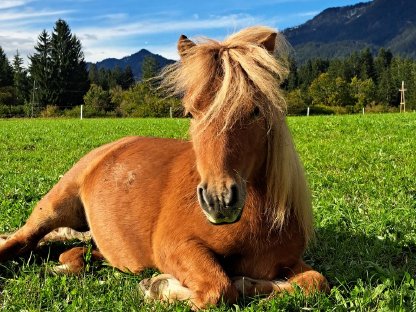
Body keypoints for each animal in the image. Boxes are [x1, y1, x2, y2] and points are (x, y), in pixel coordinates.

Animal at [0, 26, 328, 310]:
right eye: (191, 113)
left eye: (255, 111)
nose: (219, 200)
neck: (256, 220)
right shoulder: (175, 246)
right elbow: (218, 289)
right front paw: (159, 287)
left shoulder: (288, 261)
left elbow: (315, 282)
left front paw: (246, 282)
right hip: (55, 206)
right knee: (22, 241)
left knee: (75, 252)